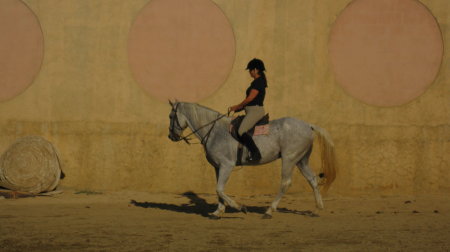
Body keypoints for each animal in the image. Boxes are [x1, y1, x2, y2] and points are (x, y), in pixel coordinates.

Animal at [167, 101, 336, 220]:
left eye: (171, 116)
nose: (171, 137)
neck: (215, 131)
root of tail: (308, 125)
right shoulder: (218, 167)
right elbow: (218, 190)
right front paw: (217, 212)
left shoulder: (227, 165)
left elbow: (219, 189)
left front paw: (240, 208)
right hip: (301, 160)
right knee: (312, 179)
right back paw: (317, 208)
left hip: (289, 158)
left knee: (285, 183)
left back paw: (269, 211)